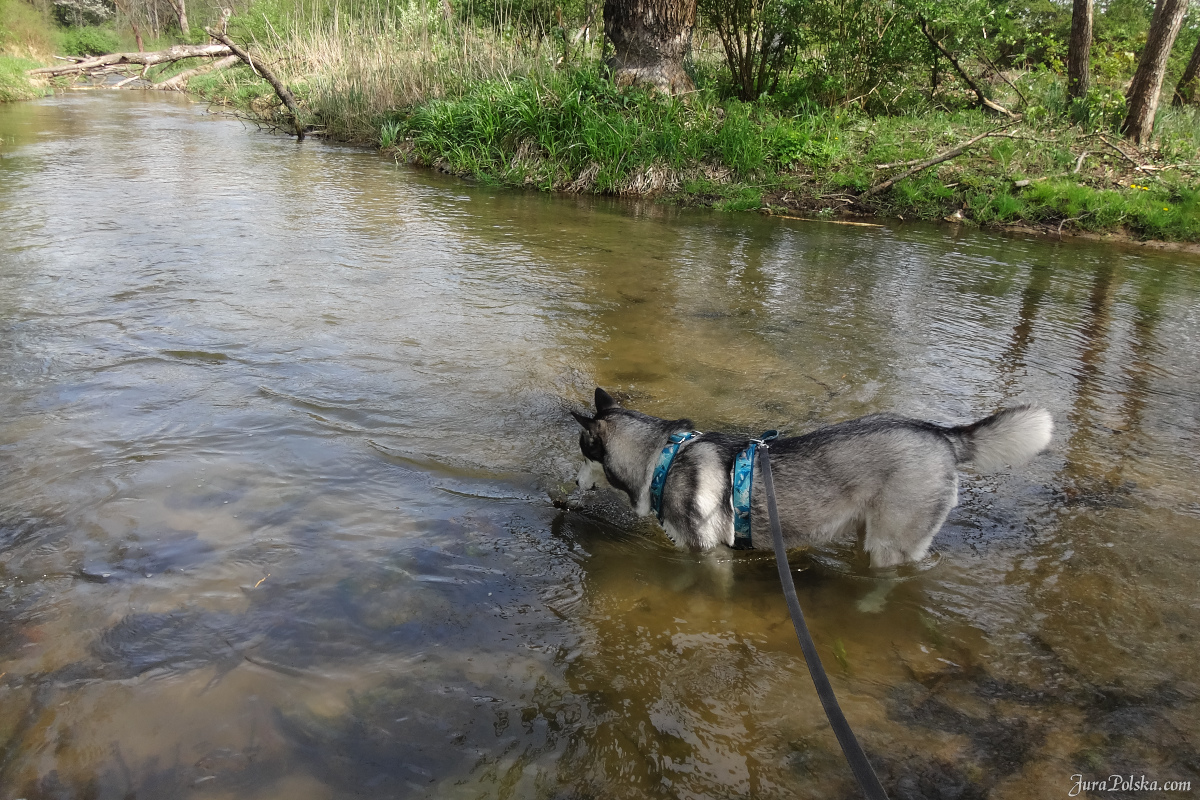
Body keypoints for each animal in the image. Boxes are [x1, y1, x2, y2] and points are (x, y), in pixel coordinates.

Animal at [571, 388, 1051, 568]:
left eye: (581, 453)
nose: (574, 485)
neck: (664, 458)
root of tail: (940, 434)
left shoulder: (710, 555)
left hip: (891, 544)